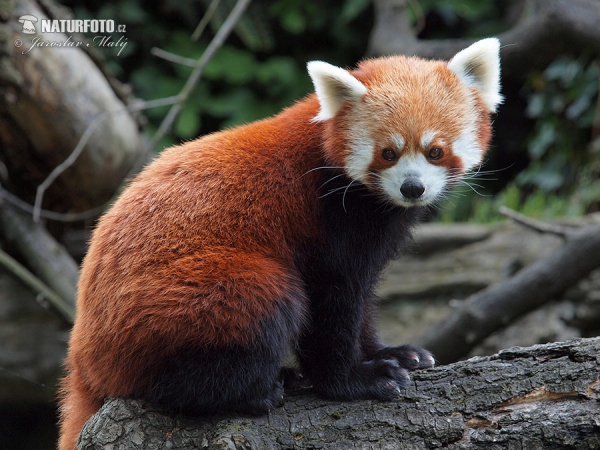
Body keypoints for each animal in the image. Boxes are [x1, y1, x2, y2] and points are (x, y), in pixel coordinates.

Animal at [59, 38, 502, 450]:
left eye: (435, 151)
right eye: (388, 153)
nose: (413, 188)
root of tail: (83, 358)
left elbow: (362, 301)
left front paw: (388, 352)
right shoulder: (329, 221)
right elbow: (332, 302)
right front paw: (354, 380)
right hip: (196, 294)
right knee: (269, 304)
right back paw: (250, 393)